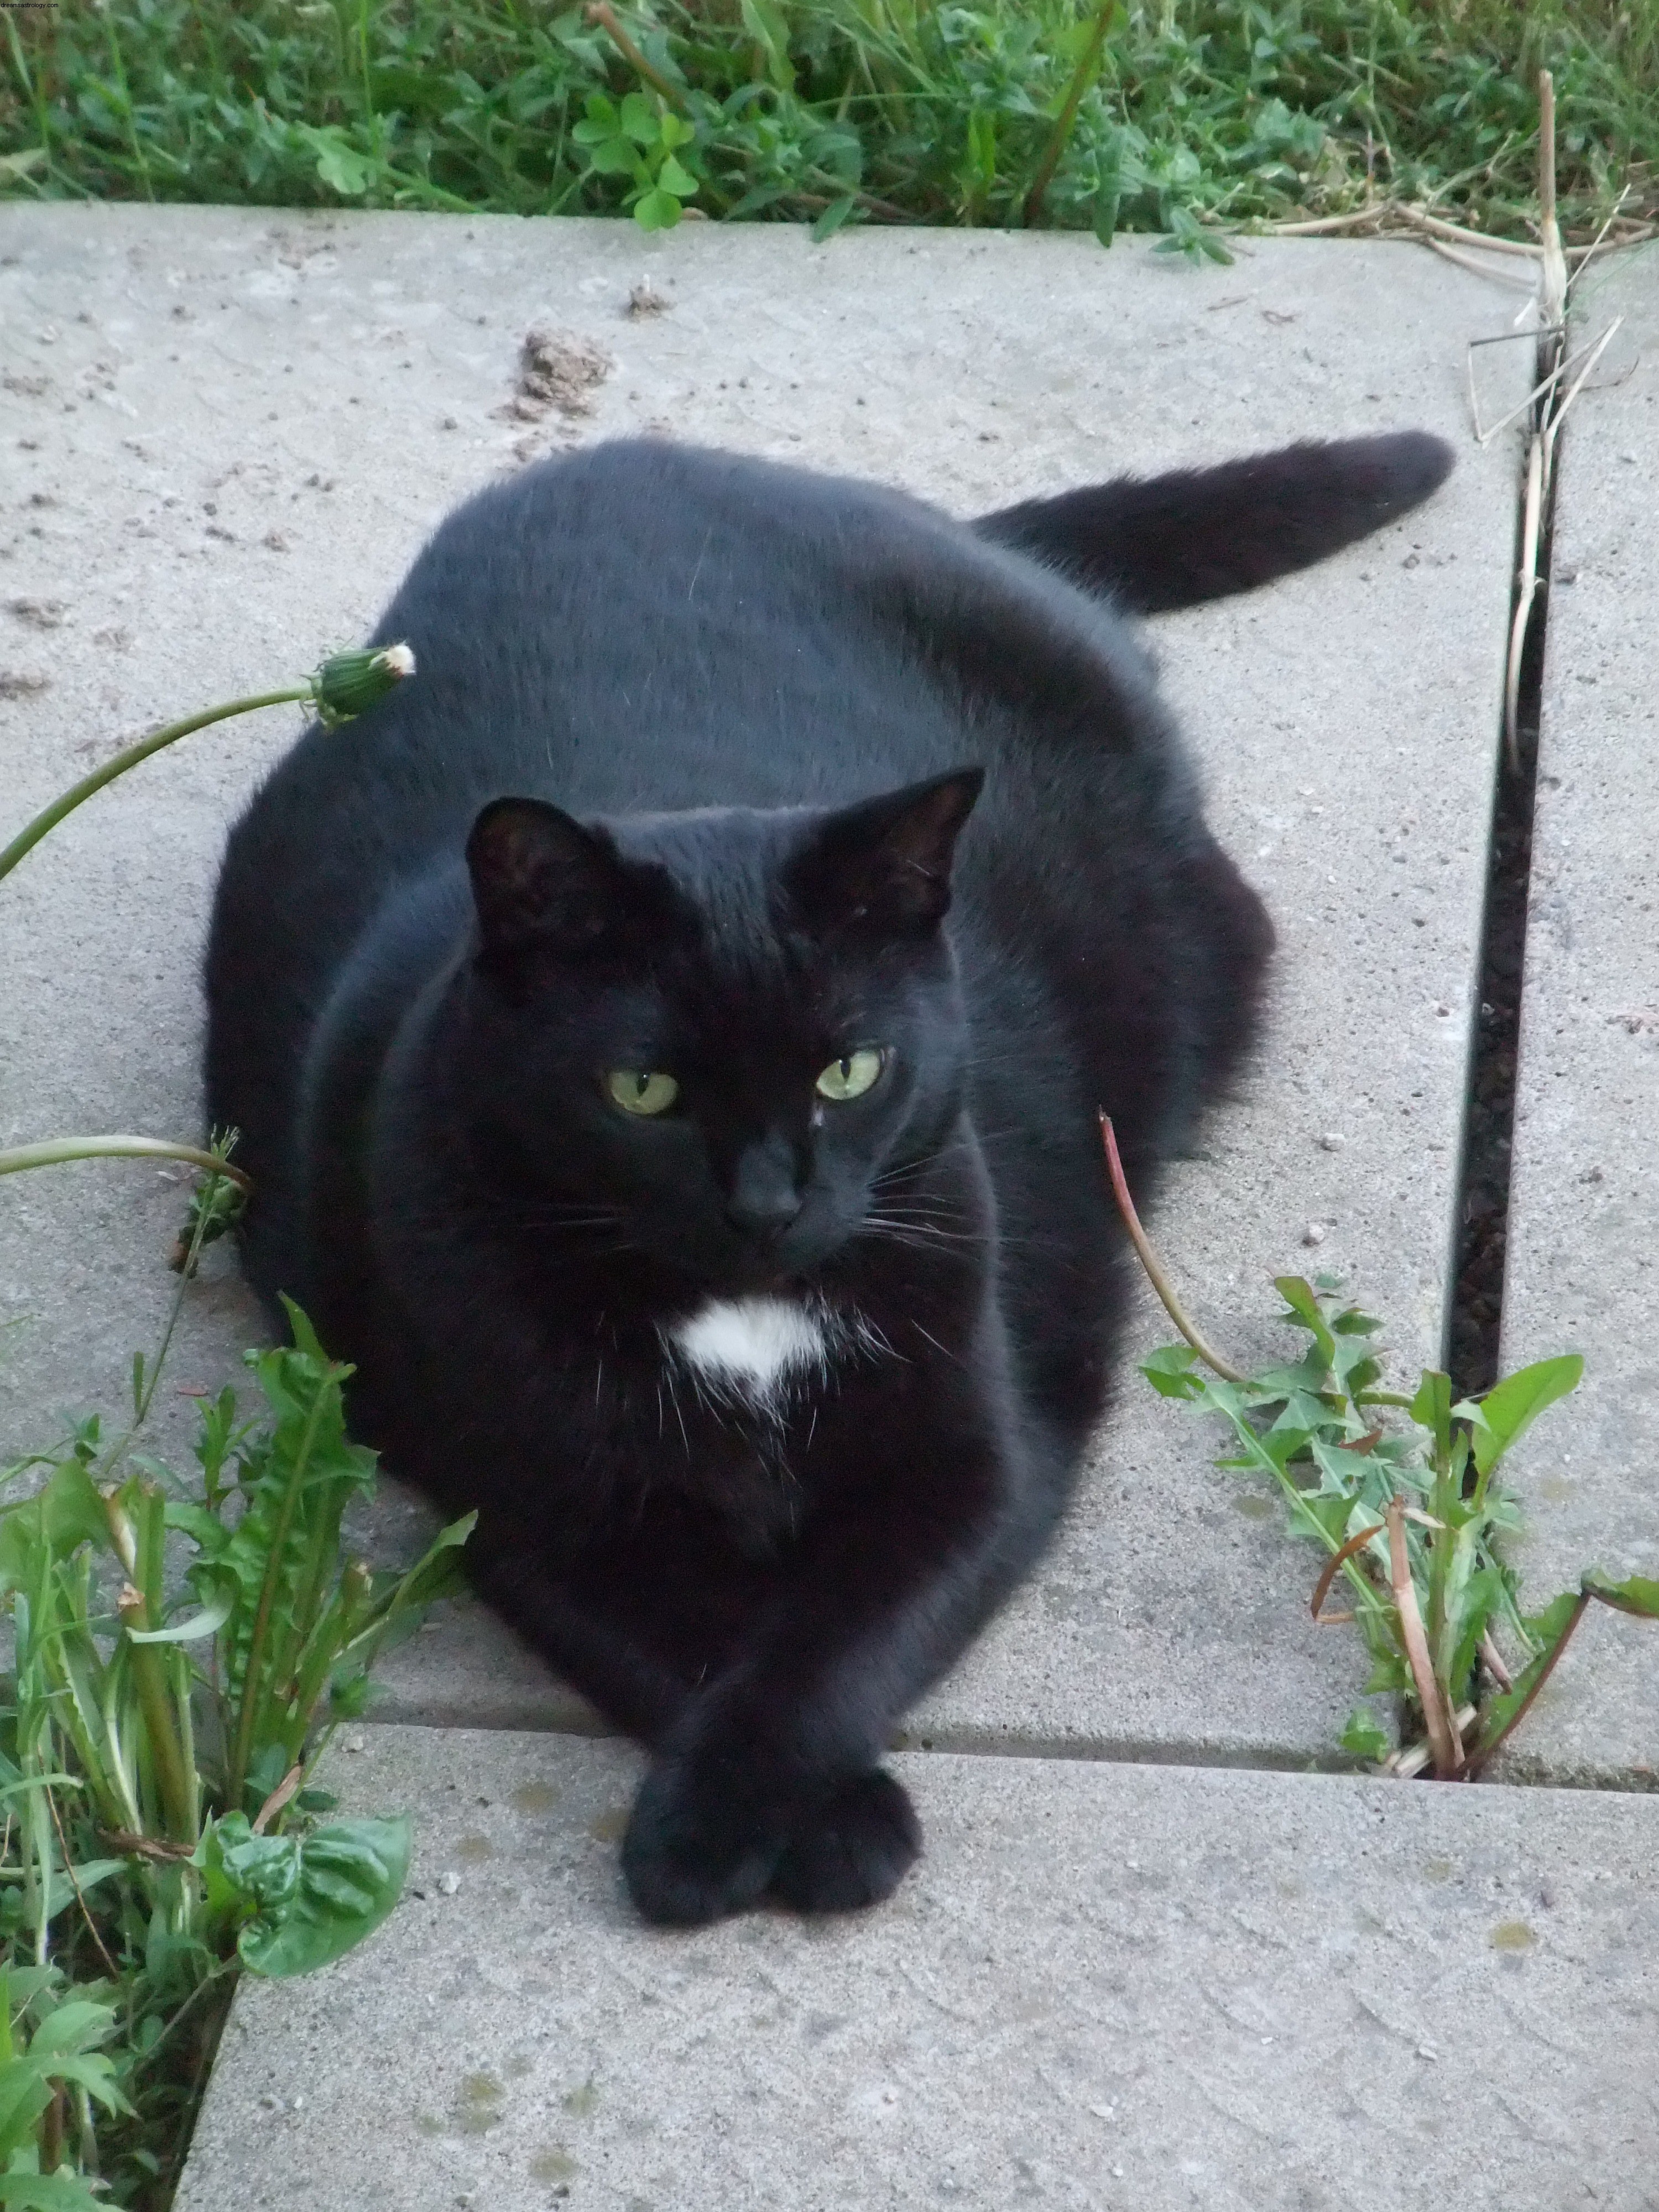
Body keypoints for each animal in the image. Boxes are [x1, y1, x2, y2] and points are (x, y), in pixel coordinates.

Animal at [208, 427, 1451, 1920]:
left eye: (848, 1072)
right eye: (643, 1090)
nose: (767, 1198)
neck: (740, 1318)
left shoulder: (976, 1455)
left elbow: (846, 1631)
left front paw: (754, 1824)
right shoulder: (537, 1509)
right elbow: (688, 1642)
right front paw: (786, 1823)